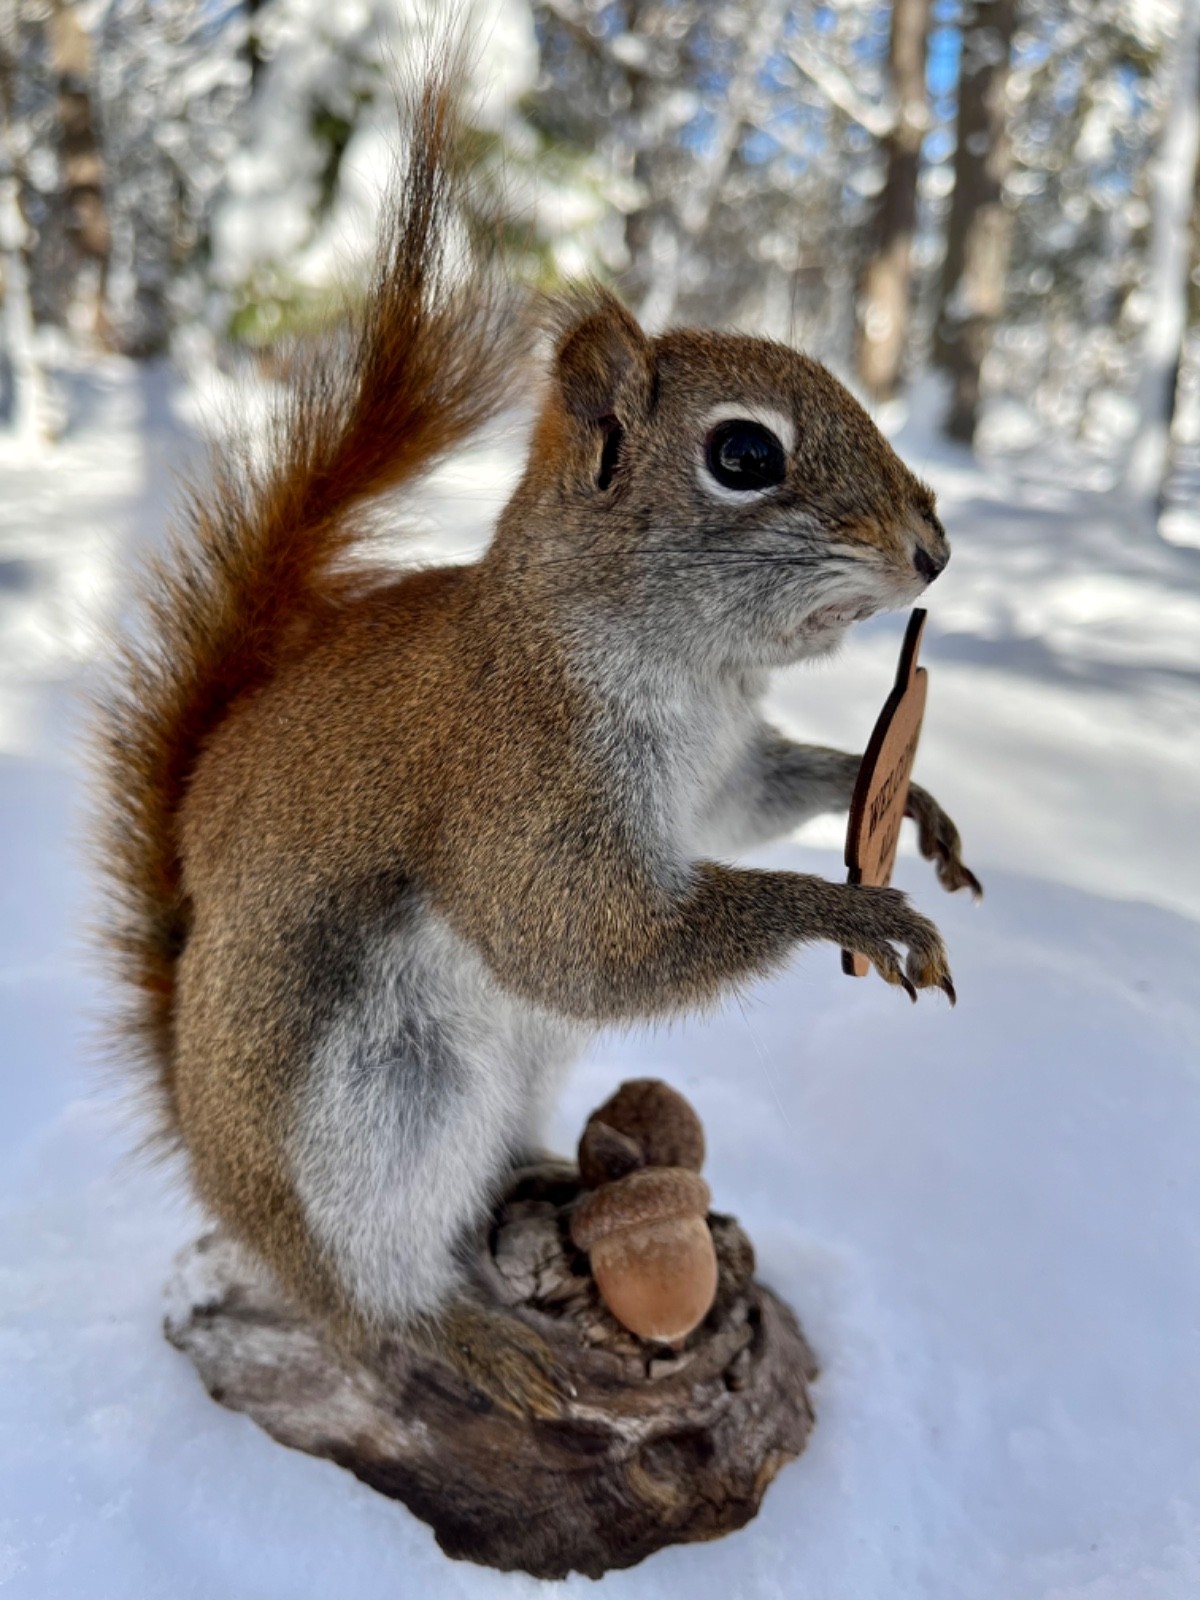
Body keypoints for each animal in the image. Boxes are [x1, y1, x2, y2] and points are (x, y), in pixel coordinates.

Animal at [94, 77, 980, 1417]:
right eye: (744, 454)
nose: (932, 551)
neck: (688, 672)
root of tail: (208, 1145)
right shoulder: (513, 773)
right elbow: (574, 937)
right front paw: (850, 910)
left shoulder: (719, 771)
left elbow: (758, 798)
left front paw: (902, 799)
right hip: (371, 1117)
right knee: (362, 1302)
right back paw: (460, 1337)